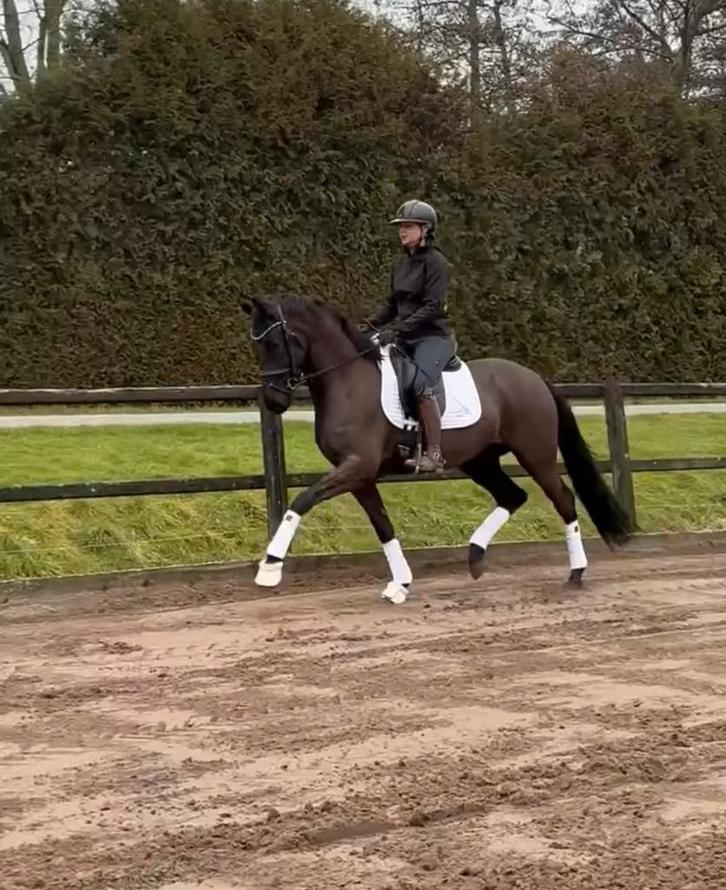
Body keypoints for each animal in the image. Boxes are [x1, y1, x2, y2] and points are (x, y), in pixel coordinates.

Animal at [244, 295, 632, 604]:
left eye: (276, 342)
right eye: (256, 346)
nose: (274, 401)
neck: (348, 382)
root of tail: (534, 377)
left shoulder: (356, 466)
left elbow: (301, 501)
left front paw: (270, 568)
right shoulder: (360, 476)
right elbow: (383, 526)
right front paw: (400, 584)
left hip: (535, 456)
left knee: (563, 500)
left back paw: (576, 573)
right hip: (481, 461)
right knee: (513, 496)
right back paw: (475, 558)